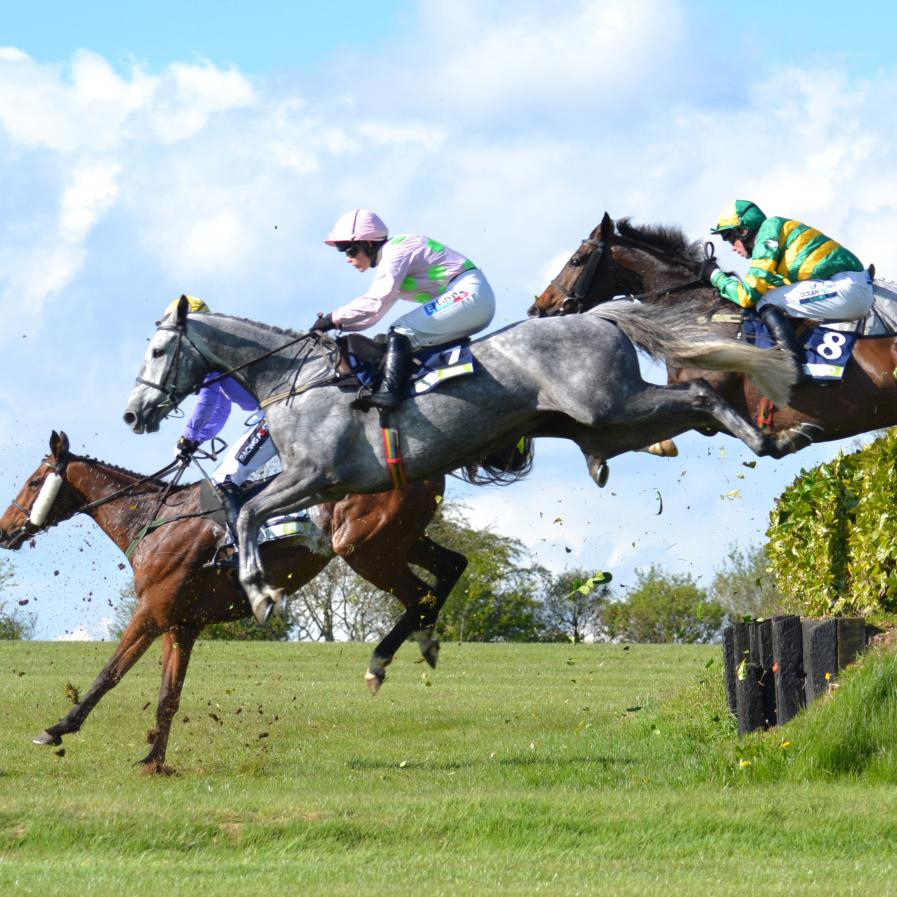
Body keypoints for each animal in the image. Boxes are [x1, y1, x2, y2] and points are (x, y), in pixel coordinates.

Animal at [0, 432, 462, 768]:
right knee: (453, 566)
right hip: (400, 542)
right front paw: (154, 760)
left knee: (421, 594)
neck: (155, 522)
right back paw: (426, 640)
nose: (5, 530)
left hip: (366, 550)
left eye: (34, 482)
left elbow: (109, 674)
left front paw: (57, 728)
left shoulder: (151, 614)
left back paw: (383, 660)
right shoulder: (181, 625)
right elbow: (168, 696)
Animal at [121, 294, 800, 624]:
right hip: (603, 423)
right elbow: (250, 514)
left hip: (612, 404)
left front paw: (261, 594)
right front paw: (259, 583)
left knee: (700, 390)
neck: (296, 379)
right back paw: (770, 437)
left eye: (156, 350)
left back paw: (774, 435)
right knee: (691, 407)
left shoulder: (314, 475)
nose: (133, 413)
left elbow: (245, 514)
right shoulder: (317, 487)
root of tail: (596, 316)